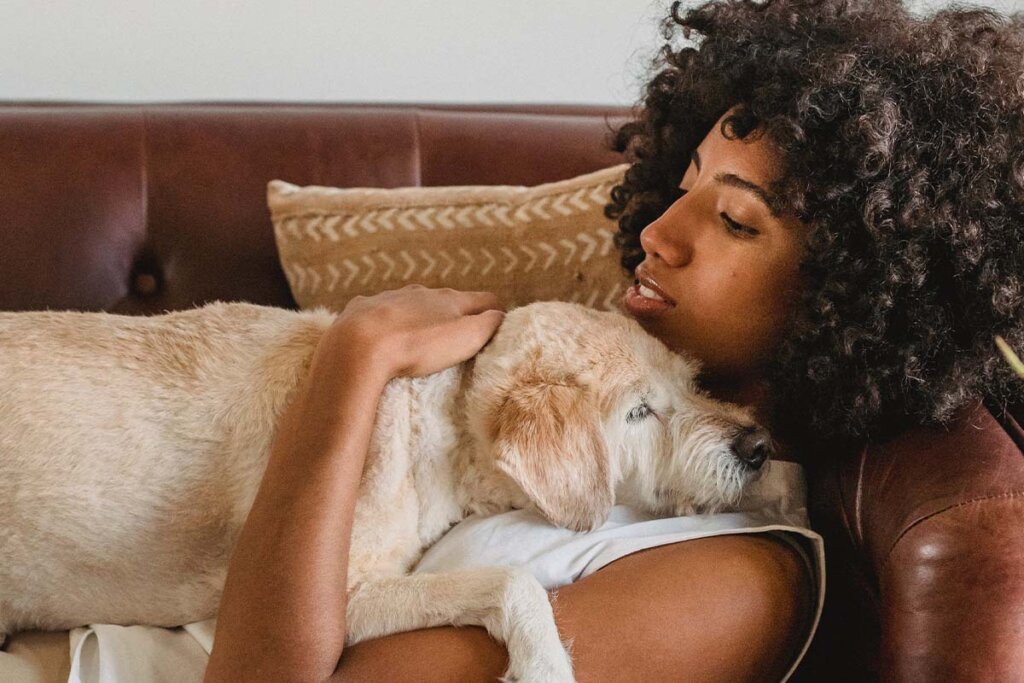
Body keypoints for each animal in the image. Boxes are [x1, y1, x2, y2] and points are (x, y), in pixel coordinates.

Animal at [0, 299, 770, 683]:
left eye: (690, 381)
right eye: (639, 412)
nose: (759, 447)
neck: (447, 408)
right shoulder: (345, 595)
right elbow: (512, 577)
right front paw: (546, 665)